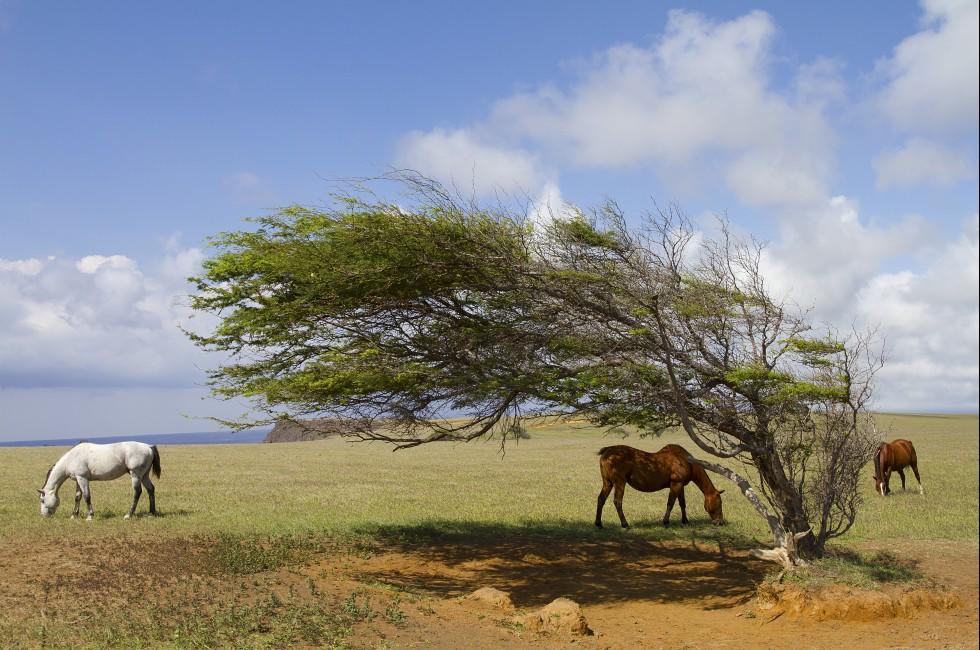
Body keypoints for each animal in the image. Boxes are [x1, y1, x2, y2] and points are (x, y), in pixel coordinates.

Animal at [595, 443, 725, 529]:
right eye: (720, 503)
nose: (720, 522)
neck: (686, 461)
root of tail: (607, 451)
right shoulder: (675, 484)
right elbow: (670, 503)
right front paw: (666, 522)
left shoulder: (681, 485)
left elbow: (682, 503)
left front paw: (685, 521)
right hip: (619, 483)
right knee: (617, 502)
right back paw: (624, 524)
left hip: (608, 483)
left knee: (601, 499)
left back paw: (598, 523)